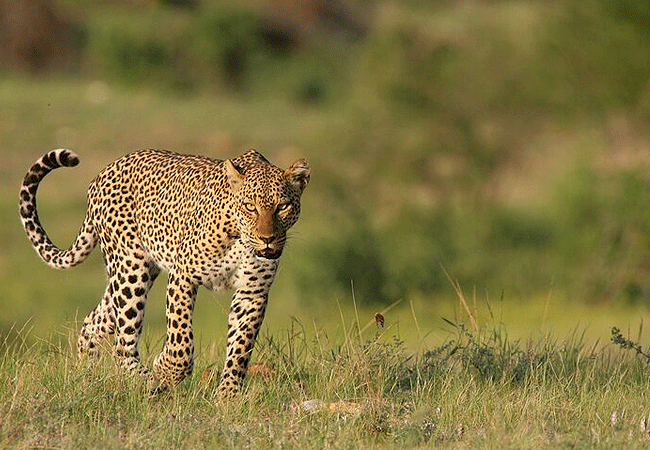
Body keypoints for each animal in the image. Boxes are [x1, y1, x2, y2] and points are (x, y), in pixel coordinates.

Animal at [15, 147, 308, 394]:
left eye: (282, 206)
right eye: (250, 207)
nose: (268, 239)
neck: (239, 238)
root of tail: (103, 172)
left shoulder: (252, 291)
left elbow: (241, 345)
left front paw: (228, 395)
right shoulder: (183, 276)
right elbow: (181, 338)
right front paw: (166, 370)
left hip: (128, 278)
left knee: (93, 323)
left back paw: (87, 374)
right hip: (131, 269)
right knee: (122, 343)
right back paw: (147, 381)